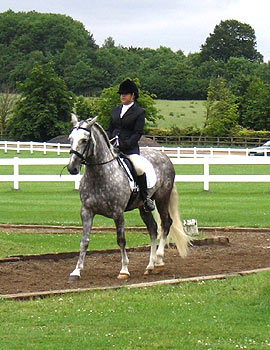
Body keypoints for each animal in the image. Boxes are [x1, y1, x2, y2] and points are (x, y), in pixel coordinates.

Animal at [67, 115, 188, 282]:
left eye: (85, 140)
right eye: (70, 138)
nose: (72, 168)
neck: (100, 175)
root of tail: (164, 156)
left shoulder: (118, 213)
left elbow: (121, 240)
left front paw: (124, 270)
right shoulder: (86, 211)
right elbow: (84, 241)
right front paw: (76, 271)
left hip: (162, 198)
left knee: (165, 224)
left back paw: (159, 261)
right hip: (143, 206)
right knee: (152, 228)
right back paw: (150, 266)